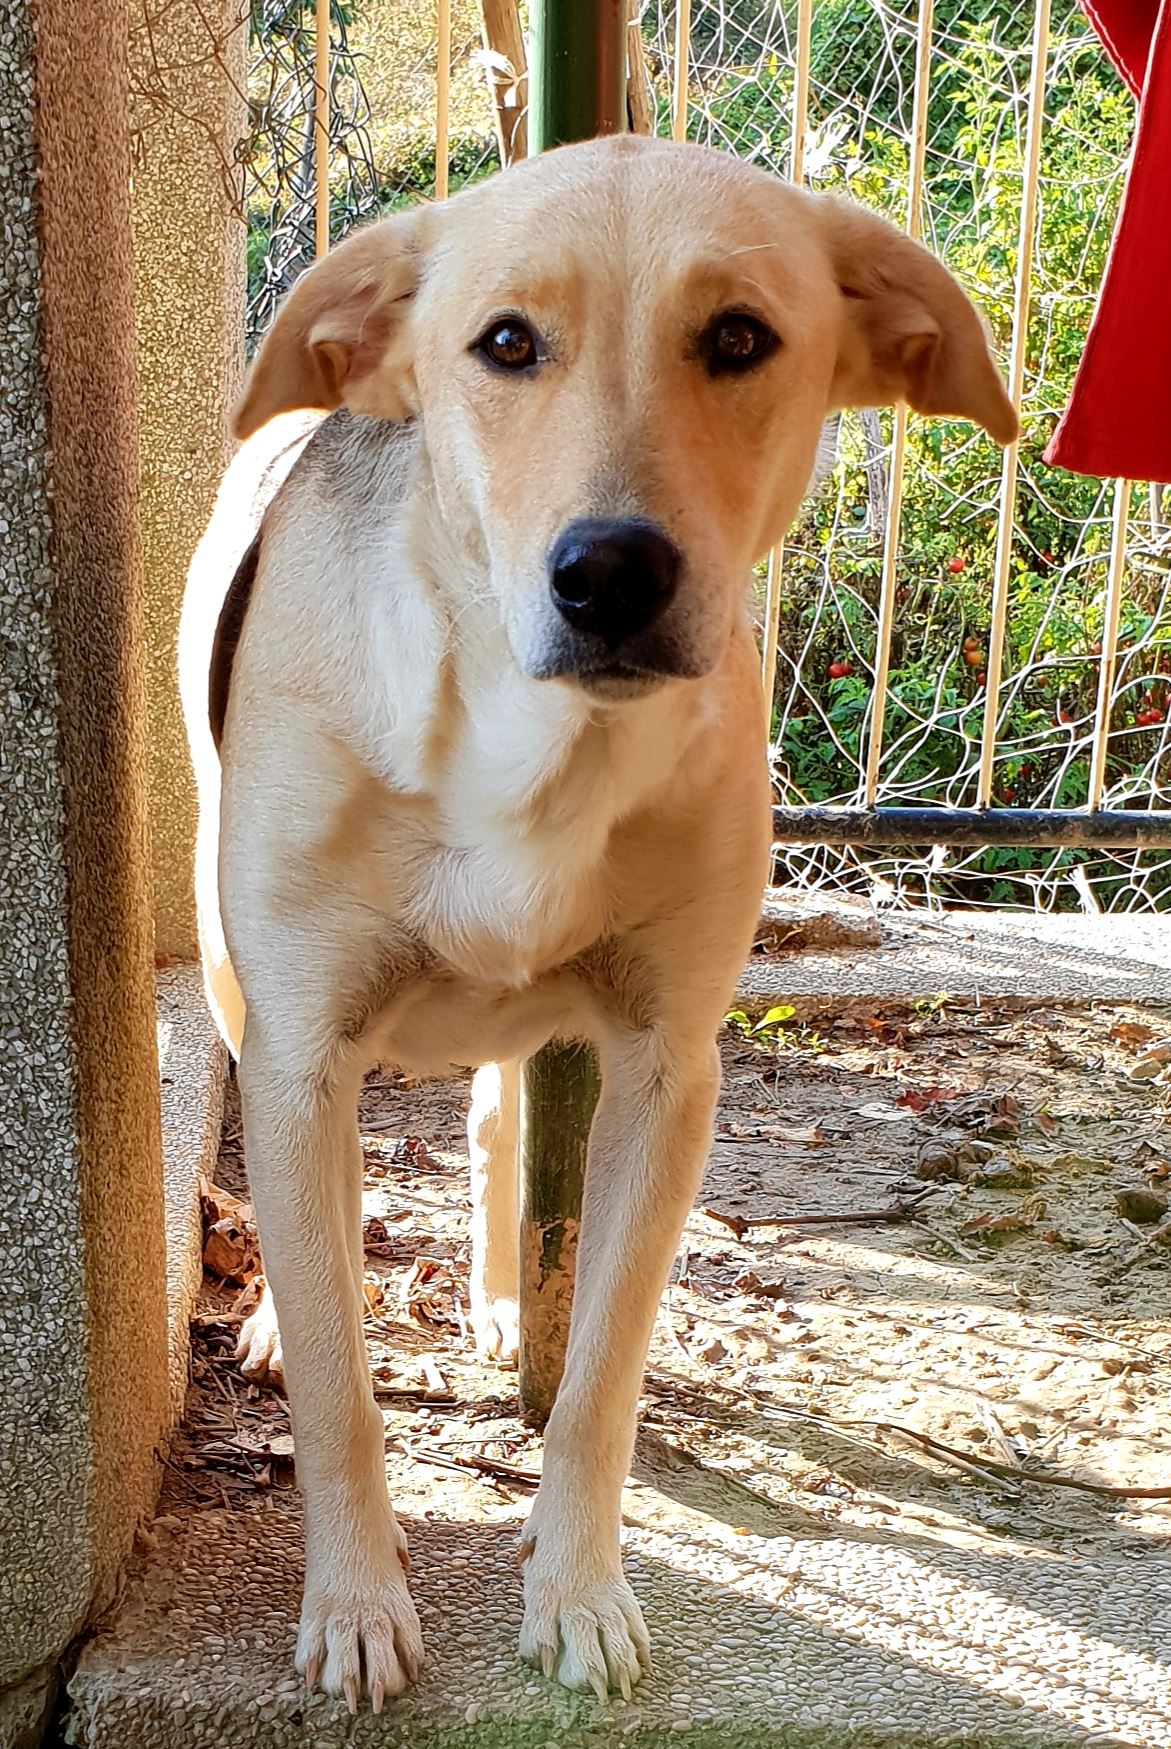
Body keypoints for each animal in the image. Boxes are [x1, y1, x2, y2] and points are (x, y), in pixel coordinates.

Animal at [180, 133, 1016, 1712]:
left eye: (738, 339)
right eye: (505, 344)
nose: (611, 574)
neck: (528, 740)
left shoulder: (665, 1071)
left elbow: (602, 1381)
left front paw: (575, 1589)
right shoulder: (308, 1045)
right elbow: (336, 1376)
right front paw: (356, 1602)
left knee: (498, 1112)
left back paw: (510, 1296)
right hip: (231, 976)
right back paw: (273, 1309)